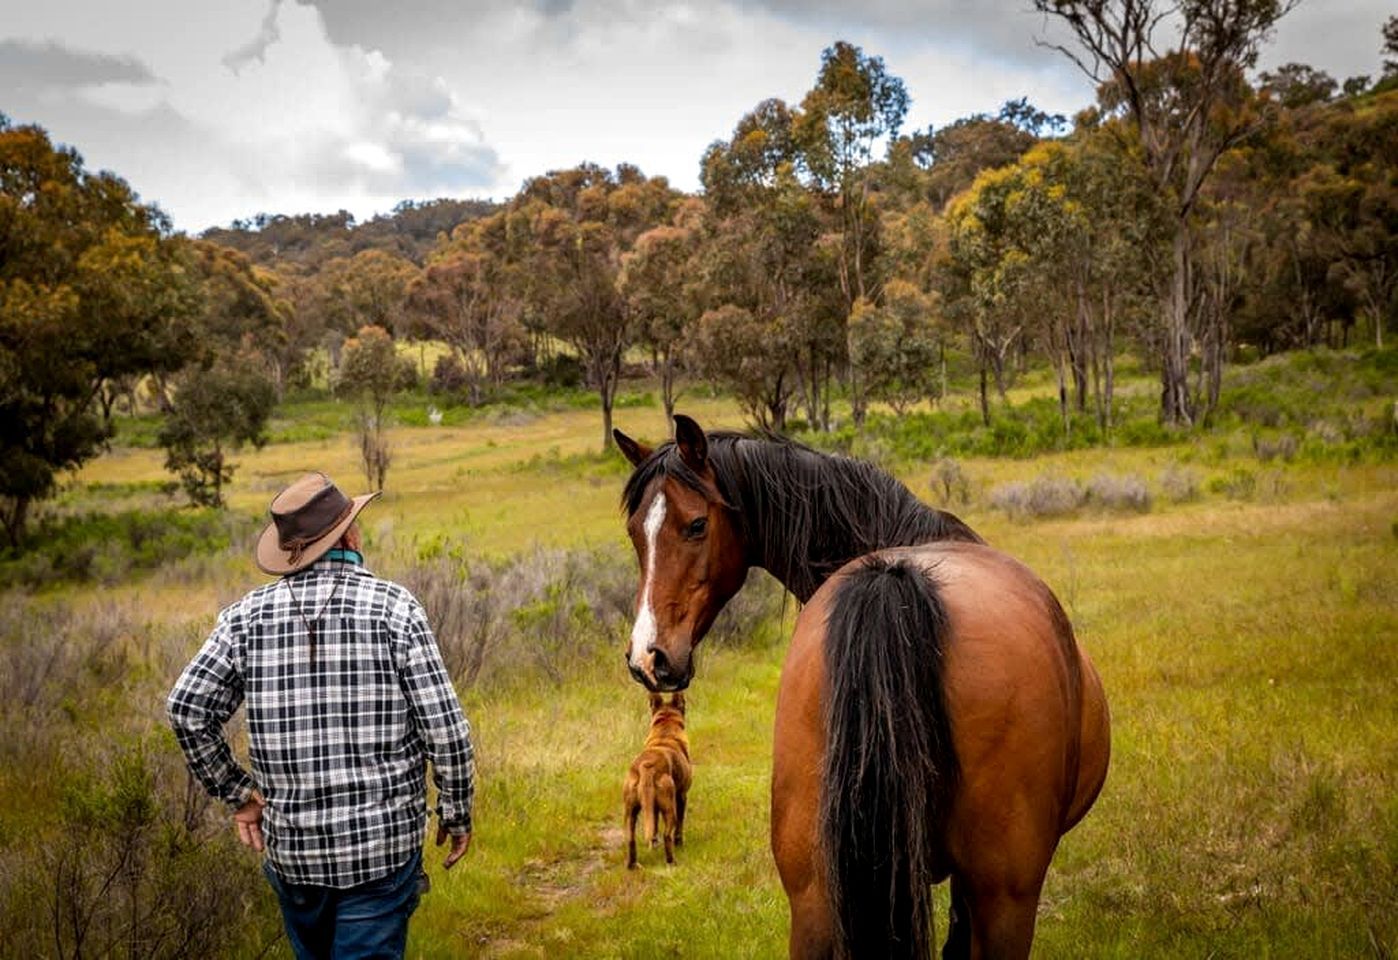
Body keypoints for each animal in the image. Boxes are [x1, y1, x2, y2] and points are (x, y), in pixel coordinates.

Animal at [613, 415, 1110, 959]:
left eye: (696, 525)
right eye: (635, 533)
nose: (649, 657)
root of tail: (895, 578)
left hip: (812, 894)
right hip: (1004, 900)